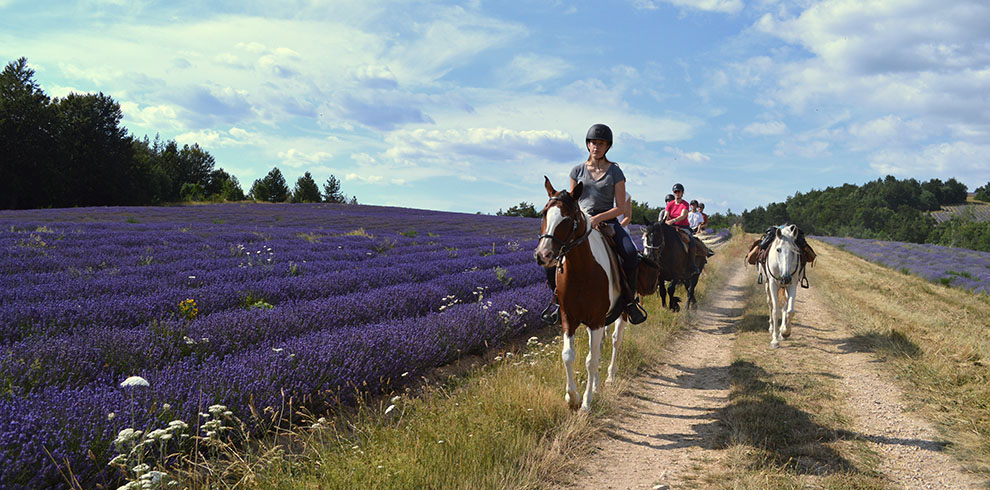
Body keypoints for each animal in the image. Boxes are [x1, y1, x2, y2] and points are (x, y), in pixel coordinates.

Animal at [536, 178, 660, 412]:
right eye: (544, 213)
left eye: (567, 218)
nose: (543, 255)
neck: (581, 270)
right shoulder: (569, 318)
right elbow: (569, 356)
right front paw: (572, 397)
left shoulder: (596, 319)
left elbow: (591, 360)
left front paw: (586, 403)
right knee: (600, 345)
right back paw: (596, 385)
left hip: (620, 314)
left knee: (615, 341)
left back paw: (609, 378)